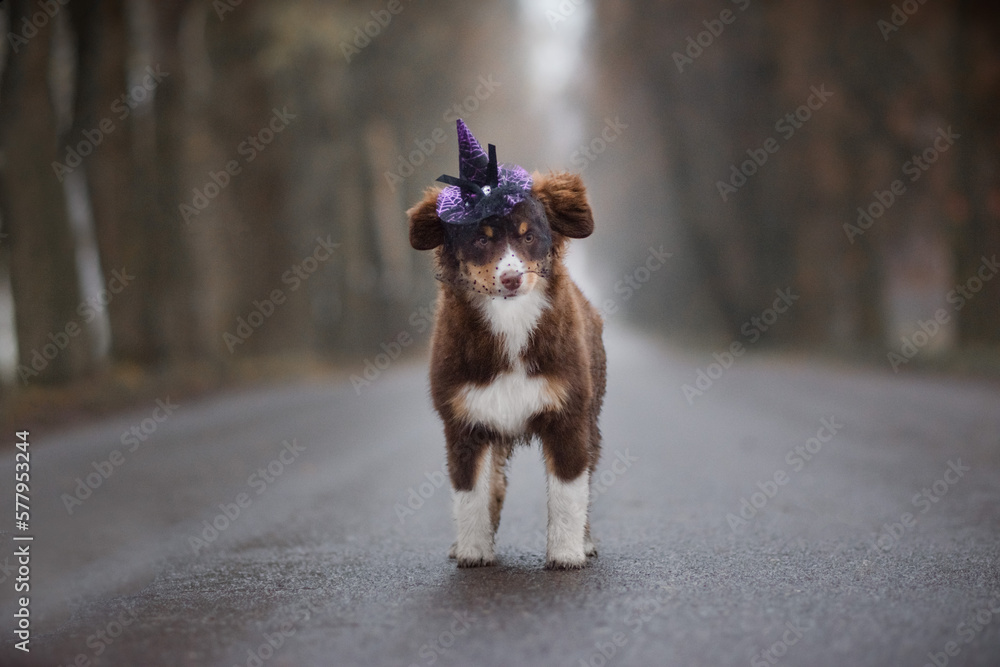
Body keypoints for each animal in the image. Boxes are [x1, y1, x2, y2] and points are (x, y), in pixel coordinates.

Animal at [404, 118, 604, 568]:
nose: (511, 278)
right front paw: (473, 552)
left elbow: (569, 492)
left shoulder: (569, 412)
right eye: (481, 239)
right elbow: (471, 495)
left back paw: (585, 542)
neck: (509, 324)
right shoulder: (464, 419)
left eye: (529, 238)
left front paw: (566, 554)